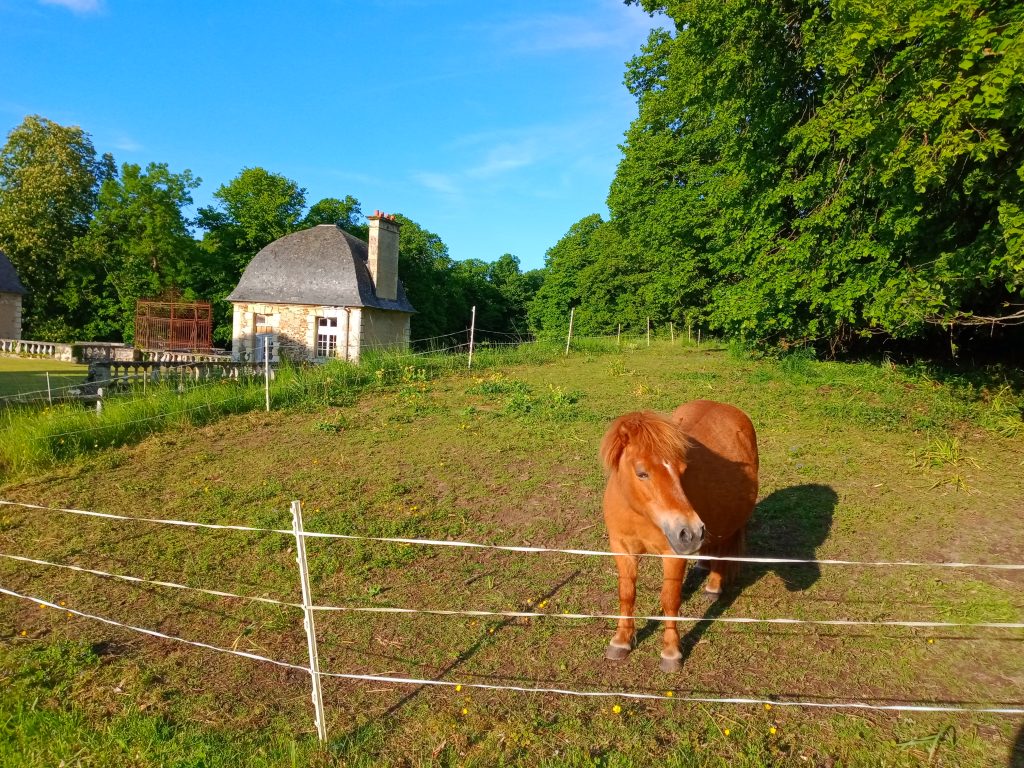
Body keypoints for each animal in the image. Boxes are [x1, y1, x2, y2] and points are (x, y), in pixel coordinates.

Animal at [598, 399, 757, 671]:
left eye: (682, 470)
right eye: (642, 473)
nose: (690, 532)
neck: (639, 513)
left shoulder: (673, 554)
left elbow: (670, 600)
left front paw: (671, 653)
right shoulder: (622, 549)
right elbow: (627, 594)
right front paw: (621, 641)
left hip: (728, 523)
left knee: (723, 550)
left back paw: (713, 587)